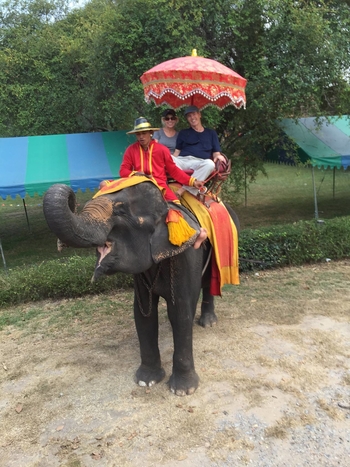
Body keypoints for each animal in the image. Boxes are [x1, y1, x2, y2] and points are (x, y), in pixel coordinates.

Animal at [41, 181, 238, 396]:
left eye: (120, 211)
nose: (71, 196)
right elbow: (143, 313)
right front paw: (146, 380)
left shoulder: (186, 254)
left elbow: (180, 312)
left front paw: (182, 390)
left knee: (210, 283)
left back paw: (208, 323)